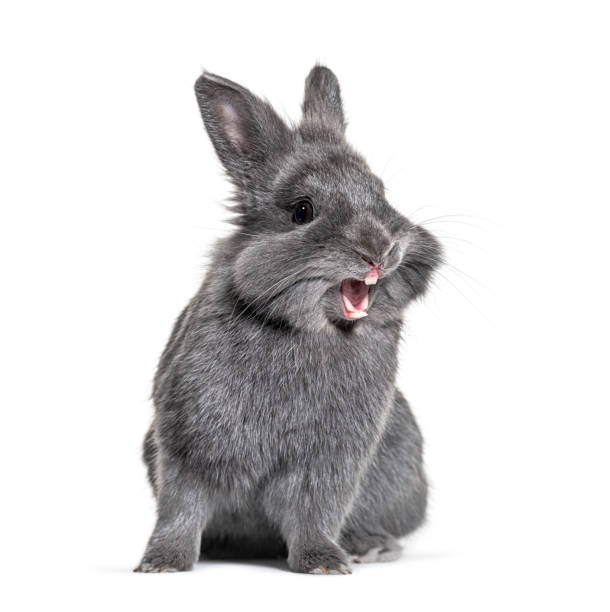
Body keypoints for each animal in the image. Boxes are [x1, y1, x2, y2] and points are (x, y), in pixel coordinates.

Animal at [133, 65, 440, 572]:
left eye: (380, 193)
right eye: (302, 210)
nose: (380, 252)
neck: (307, 331)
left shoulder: (332, 461)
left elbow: (316, 512)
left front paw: (323, 562)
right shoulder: (187, 444)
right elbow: (181, 508)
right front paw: (161, 563)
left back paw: (372, 545)